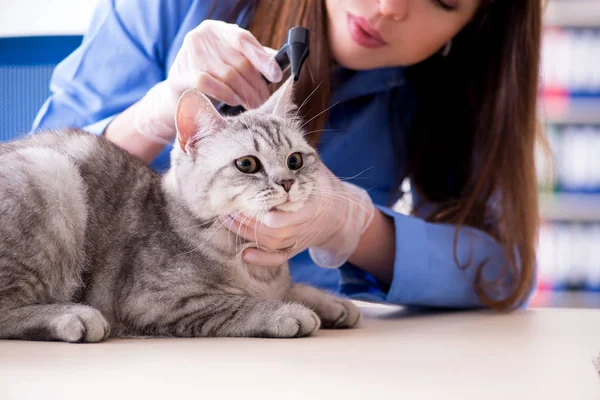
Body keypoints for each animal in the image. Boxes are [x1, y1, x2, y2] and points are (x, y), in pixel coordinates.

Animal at [0, 79, 360, 344]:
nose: (287, 182)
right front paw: (284, 311)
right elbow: (235, 305)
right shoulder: (155, 302)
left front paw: (332, 302)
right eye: (247, 164)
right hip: (50, 172)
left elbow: (293, 287)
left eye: (295, 160)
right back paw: (71, 316)